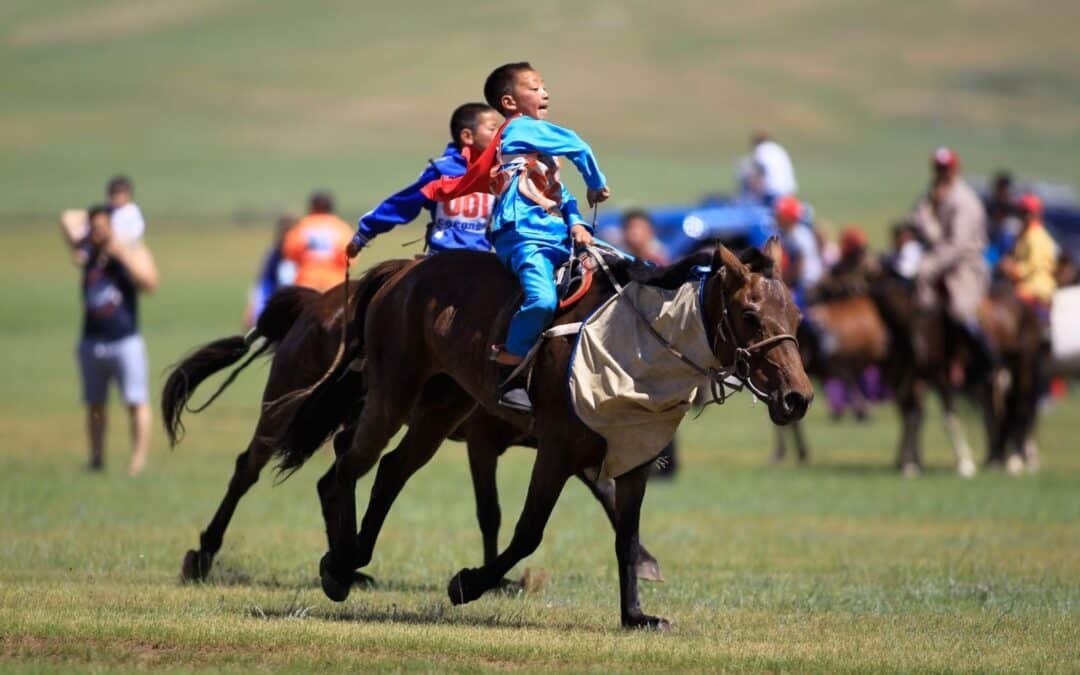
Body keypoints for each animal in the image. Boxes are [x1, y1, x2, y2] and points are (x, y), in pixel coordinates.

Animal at [162, 259, 663, 585]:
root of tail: (316, 304)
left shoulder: (570, 445)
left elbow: (608, 496)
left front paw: (643, 561)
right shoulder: (487, 443)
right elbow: (491, 510)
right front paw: (494, 577)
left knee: (340, 466)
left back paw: (345, 562)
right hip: (288, 406)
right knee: (249, 467)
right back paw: (204, 554)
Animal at [286, 241, 812, 629]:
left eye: (797, 317)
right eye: (750, 315)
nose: (798, 398)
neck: (637, 344)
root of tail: (403, 273)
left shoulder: (634, 457)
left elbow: (626, 535)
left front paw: (635, 615)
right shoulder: (556, 451)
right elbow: (527, 531)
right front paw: (467, 583)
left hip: (442, 406)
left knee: (390, 470)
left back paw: (350, 558)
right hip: (393, 396)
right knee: (345, 468)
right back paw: (339, 566)